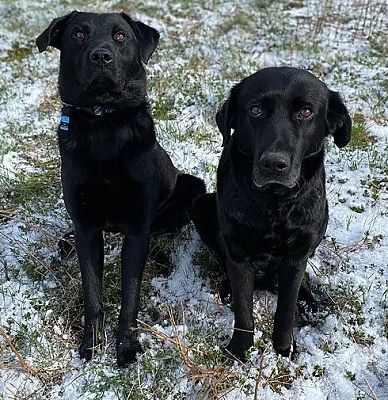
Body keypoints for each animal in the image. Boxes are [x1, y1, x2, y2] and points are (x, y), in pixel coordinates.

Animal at [36, 10, 206, 368]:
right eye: (78, 33)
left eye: (120, 36)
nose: (101, 56)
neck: (104, 121)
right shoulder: (87, 228)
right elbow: (92, 294)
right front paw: (91, 344)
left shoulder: (137, 229)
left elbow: (130, 294)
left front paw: (126, 346)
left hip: (189, 188)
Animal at [191, 67, 352, 360]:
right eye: (255, 110)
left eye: (306, 112)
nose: (274, 164)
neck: (273, 203)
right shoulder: (239, 255)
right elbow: (244, 313)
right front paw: (238, 352)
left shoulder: (295, 257)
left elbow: (285, 310)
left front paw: (284, 350)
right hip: (199, 205)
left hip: (321, 221)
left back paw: (308, 301)